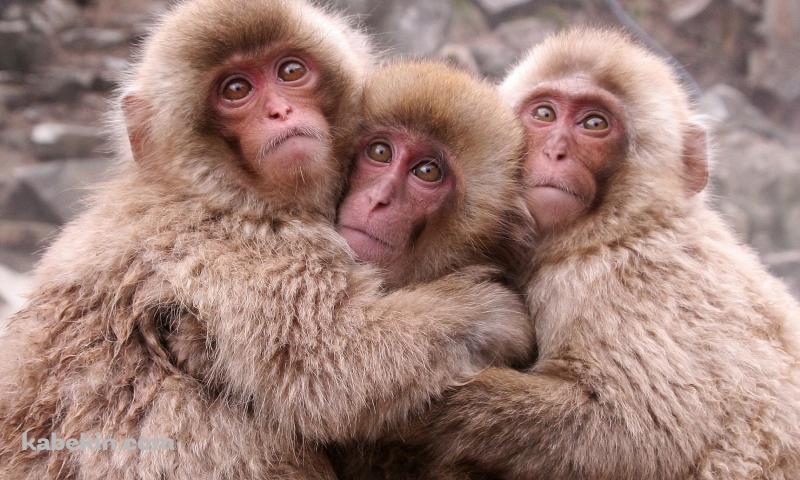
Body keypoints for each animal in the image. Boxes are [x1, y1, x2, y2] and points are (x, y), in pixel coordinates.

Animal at [0, 1, 535, 478]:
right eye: (236, 89)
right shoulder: (238, 244)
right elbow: (333, 361)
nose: (280, 111)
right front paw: (488, 311)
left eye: (290, 70)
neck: (219, 189)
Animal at [380, 27, 800, 480]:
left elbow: (637, 431)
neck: (614, 230)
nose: (555, 151)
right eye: (544, 114)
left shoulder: (612, 283)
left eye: (594, 123)